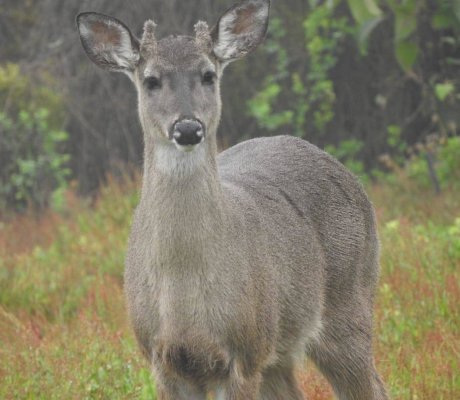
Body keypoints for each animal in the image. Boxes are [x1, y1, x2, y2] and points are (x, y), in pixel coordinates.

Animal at [76, 1, 388, 398]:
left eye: (208, 75)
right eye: (151, 80)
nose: (188, 128)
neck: (183, 293)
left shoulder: (245, 351)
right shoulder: (162, 359)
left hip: (349, 301)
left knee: (373, 384)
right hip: (280, 349)